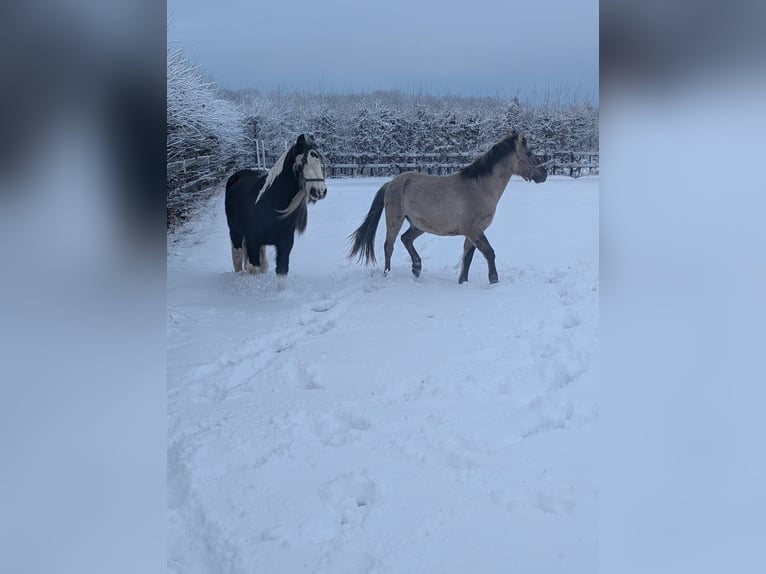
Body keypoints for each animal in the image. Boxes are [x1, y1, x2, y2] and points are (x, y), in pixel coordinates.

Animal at [225, 134, 327, 290]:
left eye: (319, 161)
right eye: (302, 162)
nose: (320, 191)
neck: (270, 203)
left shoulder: (284, 245)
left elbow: (282, 271)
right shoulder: (252, 241)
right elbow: (252, 269)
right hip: (235, 232)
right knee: (237, 258)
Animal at [347, 132, 547, 284]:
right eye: (529, 153)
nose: (544, 174)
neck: (480, 188)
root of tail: (391, 183)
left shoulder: (472, 232)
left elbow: (468, 257)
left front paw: (463, 282)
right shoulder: (474, 230)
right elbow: (489, 253)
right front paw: (494, 280)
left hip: (418, 225)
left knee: (406, 239)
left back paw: (417, 267)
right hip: (394, 220)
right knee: (389, 245)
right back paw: (388, 274)